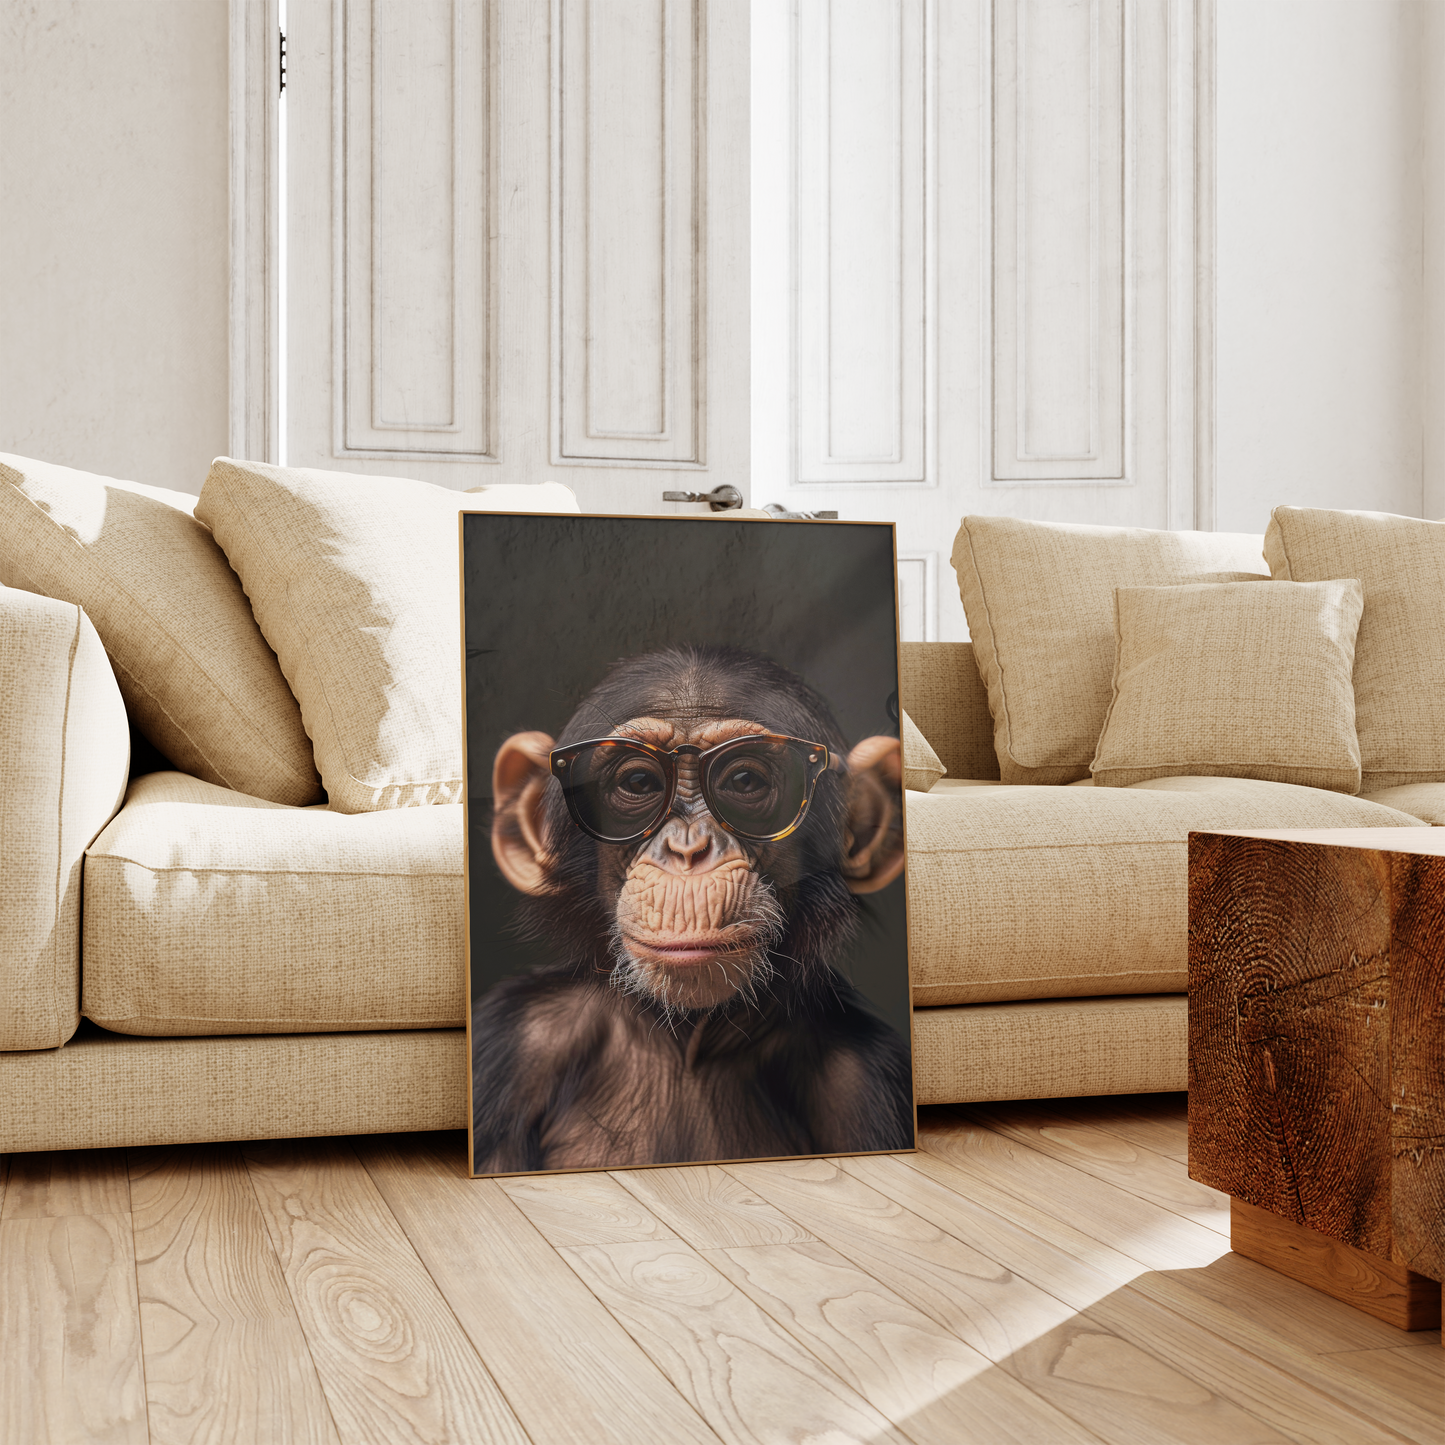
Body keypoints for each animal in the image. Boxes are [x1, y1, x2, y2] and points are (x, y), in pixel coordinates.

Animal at [470, 644, 913, 1175]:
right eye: (639, 781)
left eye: (744, 779)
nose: (689, 849)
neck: (687, 1042)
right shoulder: (513, 1042)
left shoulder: (870, 1080)